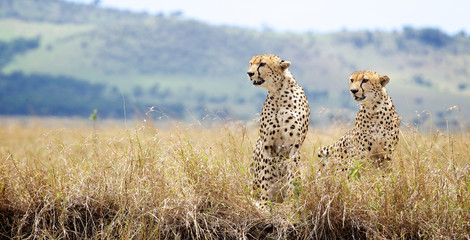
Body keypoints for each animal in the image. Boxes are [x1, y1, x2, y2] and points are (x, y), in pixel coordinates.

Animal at [248, 54, 310, 206]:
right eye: (250, 63)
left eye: (262, 64)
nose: (249, 73)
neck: (278, 93)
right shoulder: (266, 144)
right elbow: (266, 176)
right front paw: (264, 203)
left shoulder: (295, 145)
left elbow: (292, 176)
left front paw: (291, 200)